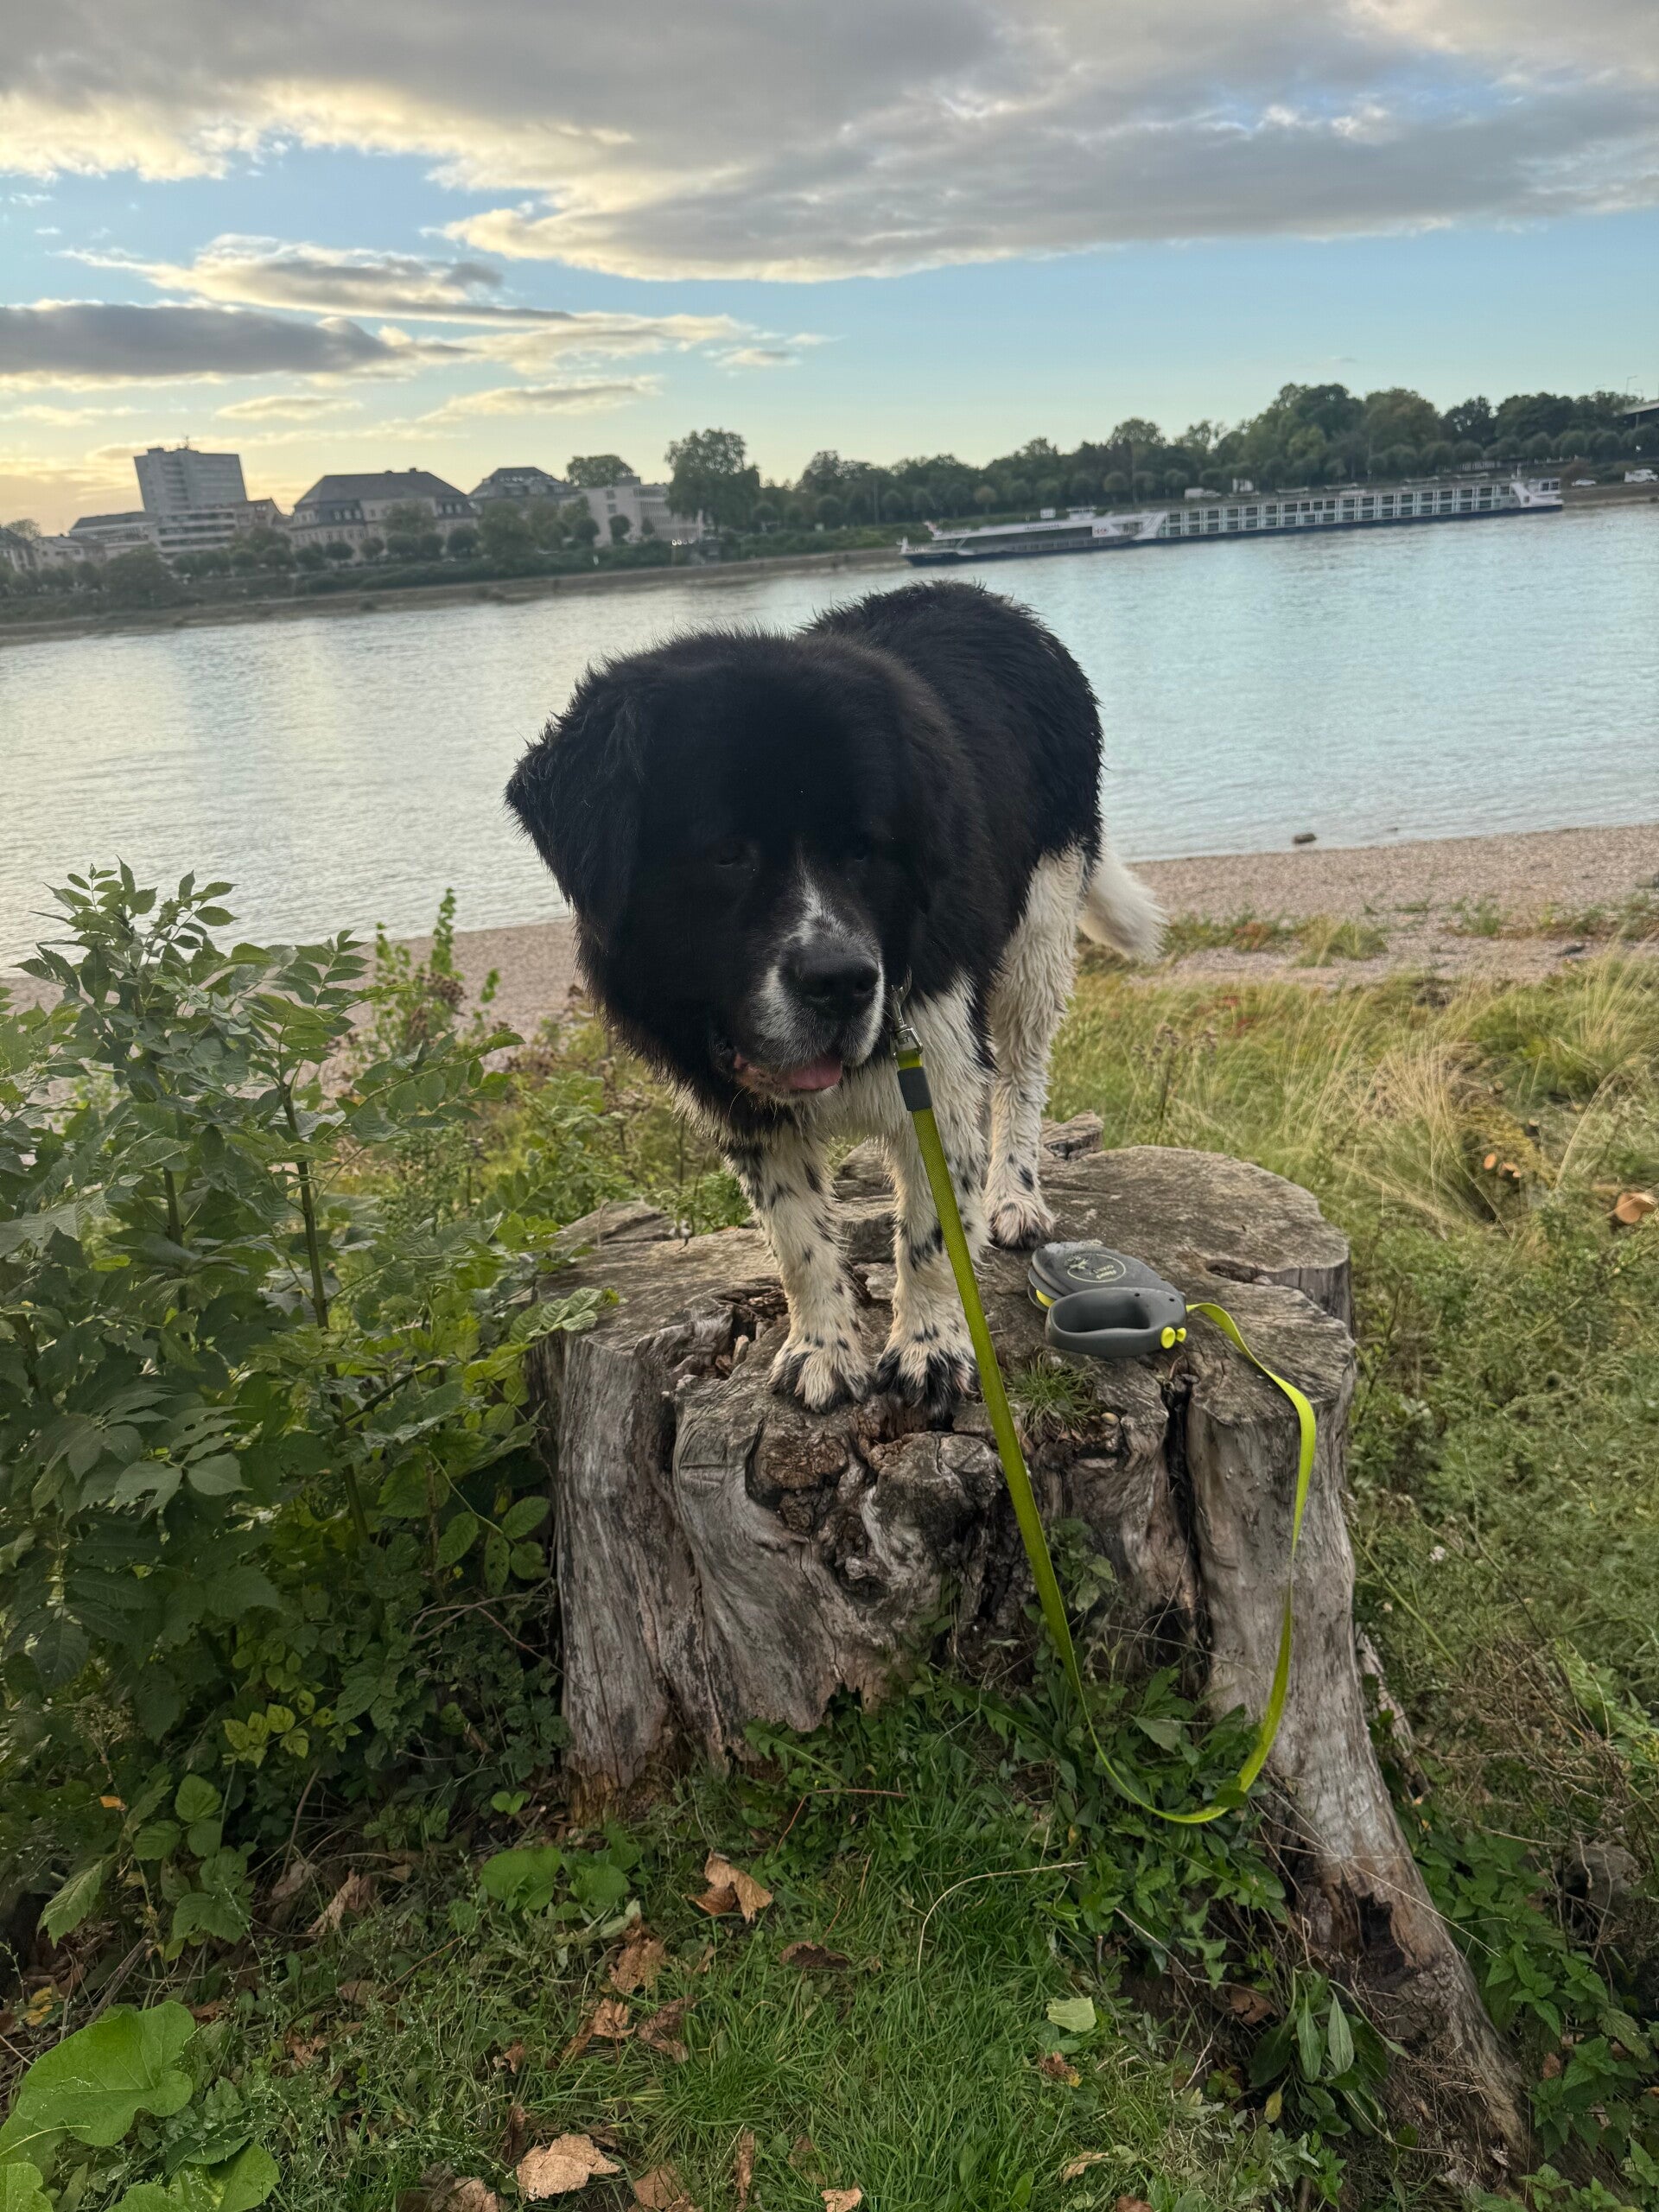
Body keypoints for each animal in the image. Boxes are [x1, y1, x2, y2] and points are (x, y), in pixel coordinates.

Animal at [506, 579, 1161, 1415]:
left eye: (865, 848)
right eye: (726, 853)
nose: (843, 982)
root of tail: (992, 602)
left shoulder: (938, 1057)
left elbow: (934, 1232)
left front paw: (931, 1348)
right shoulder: (747, 1109)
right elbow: (796, 1240)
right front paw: (821, 1351)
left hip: (1038, 932)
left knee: (1023, 1075)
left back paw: (1015, 1197)